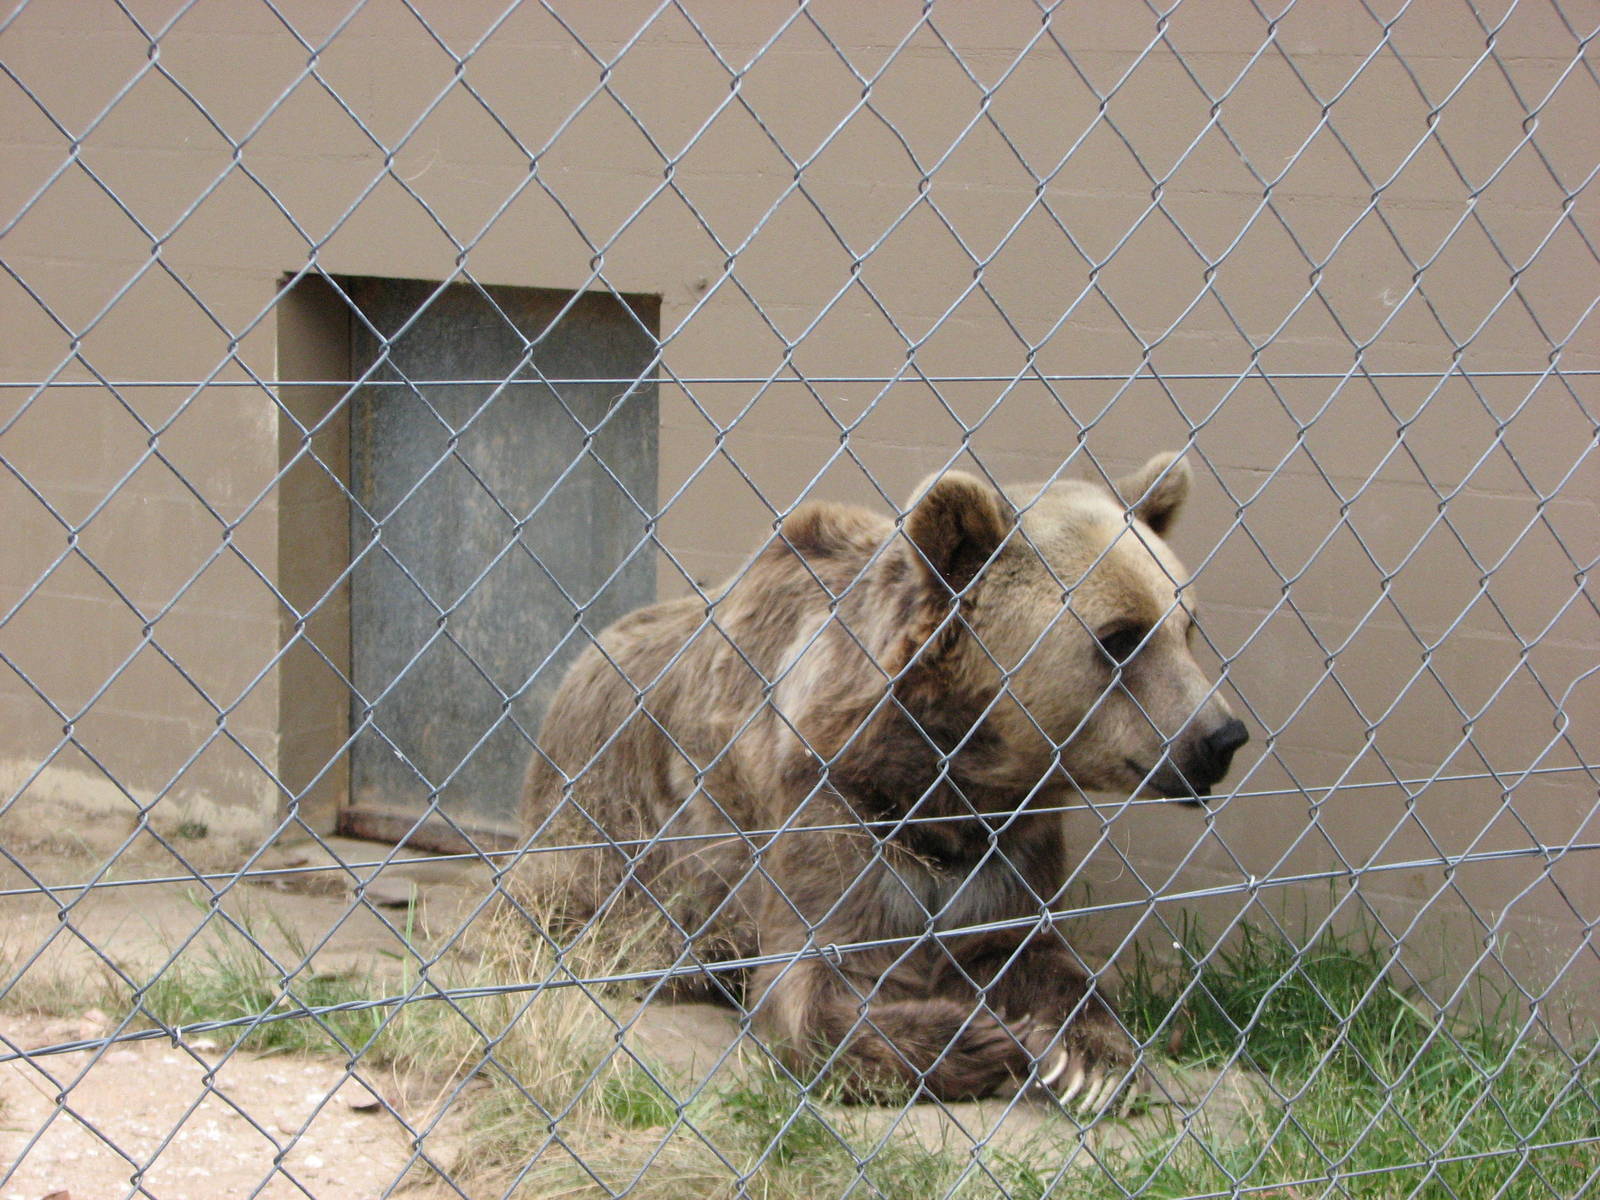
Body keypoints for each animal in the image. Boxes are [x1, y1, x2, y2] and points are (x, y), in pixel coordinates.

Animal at [515, 451, 1247, 1113]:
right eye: (1120, 637)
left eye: (1187, 626)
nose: (1221, 736)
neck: (945, 778)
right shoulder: (831, 804)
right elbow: (816, 989)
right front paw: (1005, 1038)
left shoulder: (1007, 842)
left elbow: (1031, 951)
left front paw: (1091, 1059)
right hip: (607, 840)